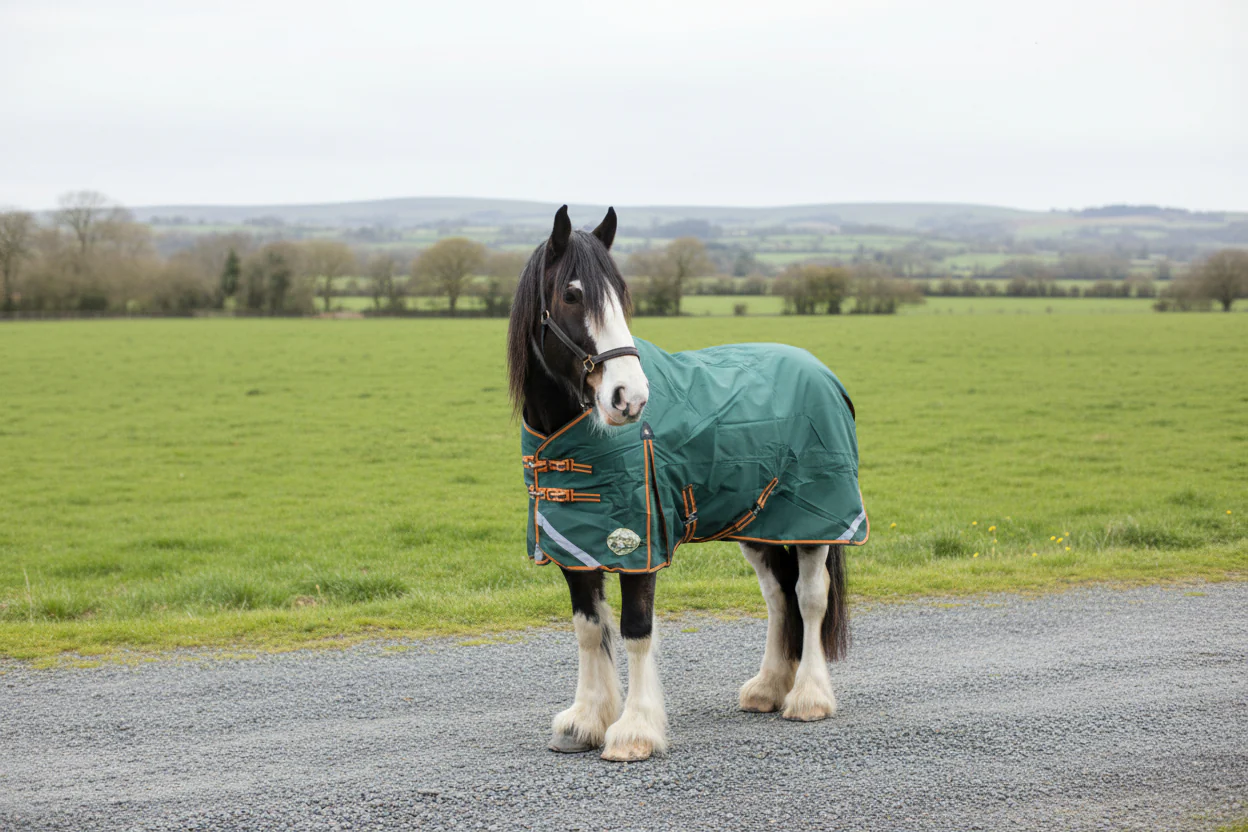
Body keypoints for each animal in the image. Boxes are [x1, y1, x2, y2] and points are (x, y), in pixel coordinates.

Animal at [507, 205, 866, 762]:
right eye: (571, 295)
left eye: (621, 295)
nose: (629, 397)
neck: (569, 435)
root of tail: (824, 374)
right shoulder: (573, 545)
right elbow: (589, 629)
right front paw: (585, 721)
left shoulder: (638, 543)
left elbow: (635, 631)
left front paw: (634, 730)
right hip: (759, 526)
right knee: (777, 596)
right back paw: (768, 687)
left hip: (815, 523)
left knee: (809, 597)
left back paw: (808, 696)